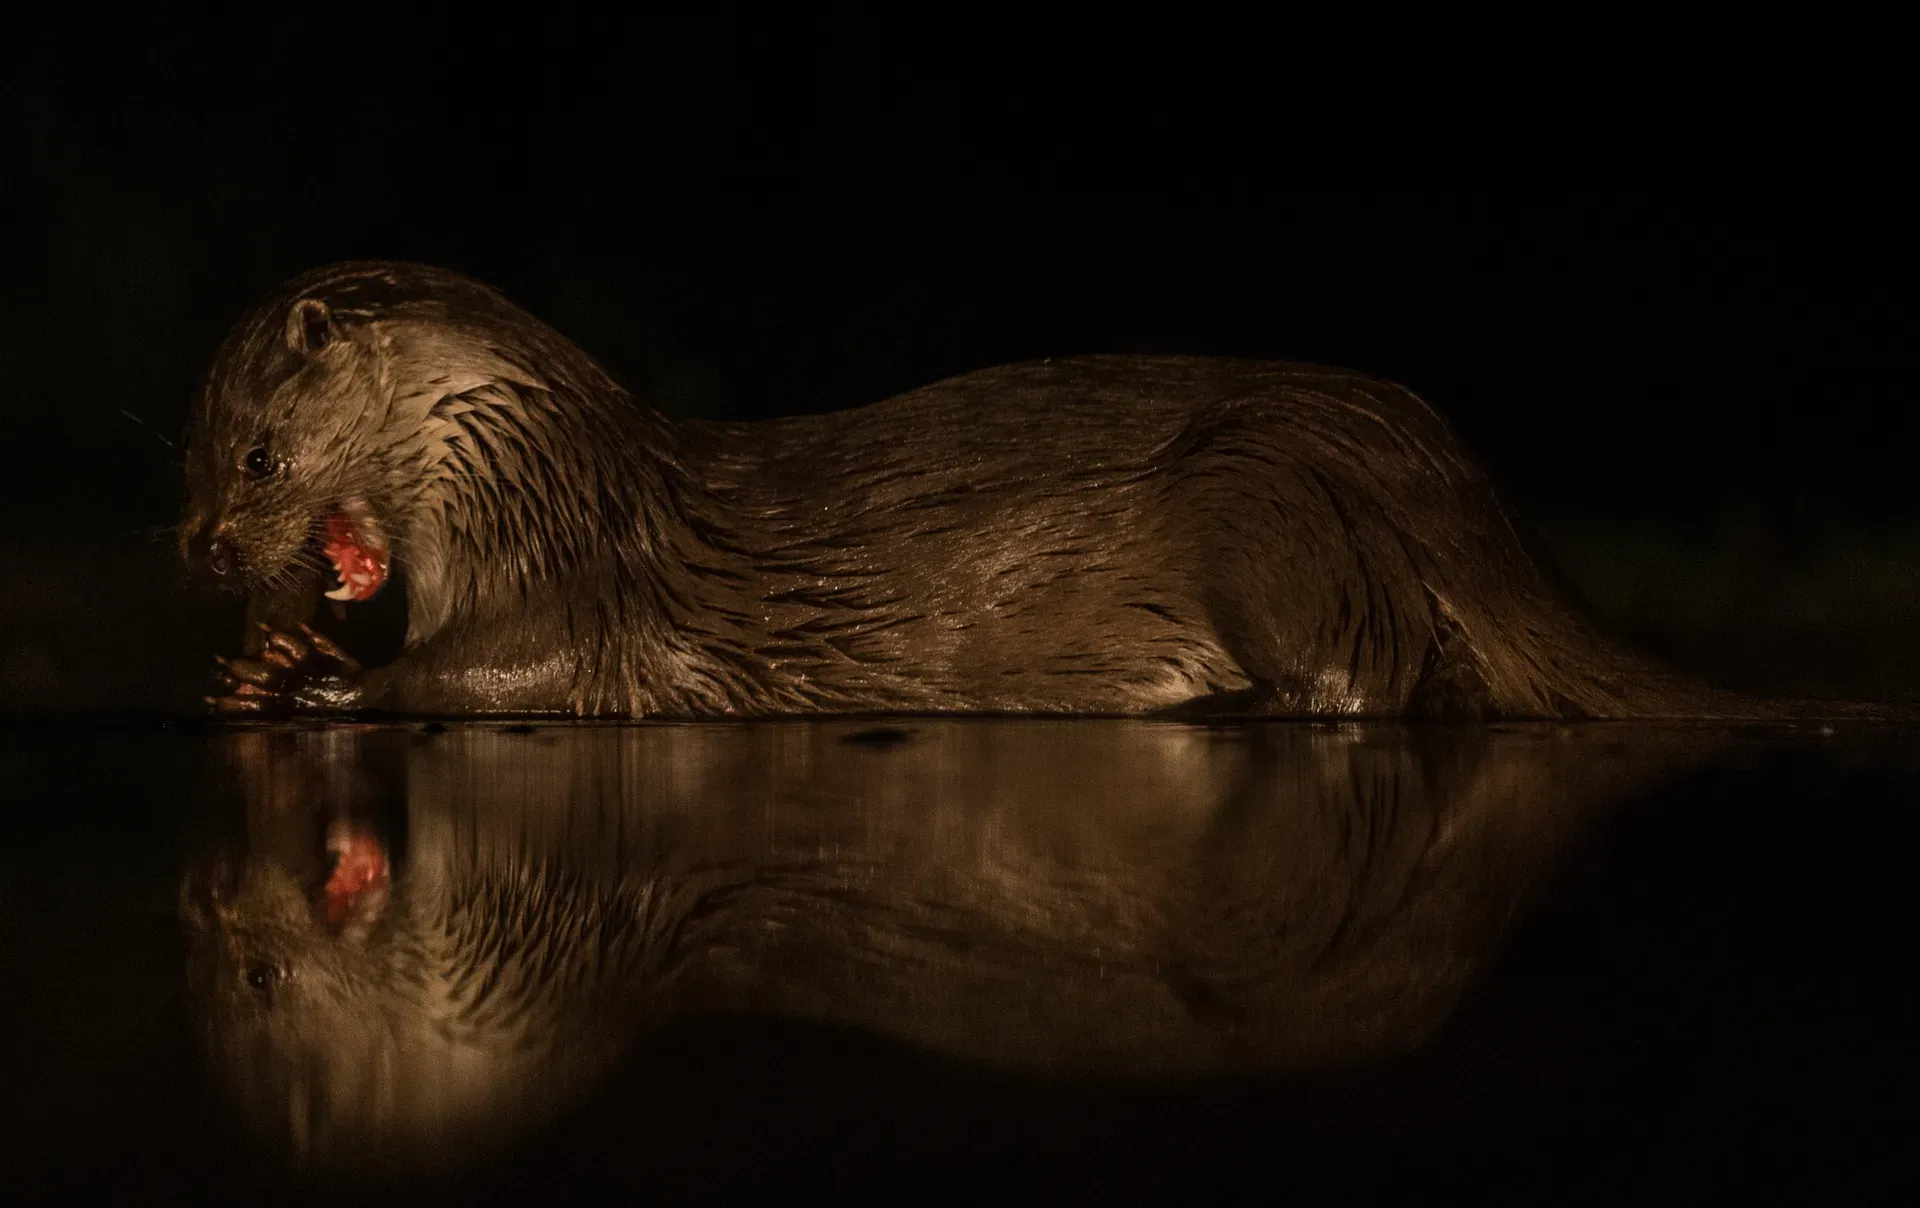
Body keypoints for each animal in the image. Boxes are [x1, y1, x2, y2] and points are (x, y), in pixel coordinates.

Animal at [181, 260, 1745, 719]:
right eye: (189, 458)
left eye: (258, 456)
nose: (202, 551)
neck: (536, 484)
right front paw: (265, 660)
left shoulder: (586, 594)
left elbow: (515, 665)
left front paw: (326, 682)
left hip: (1263, 500)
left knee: (1370, 673)